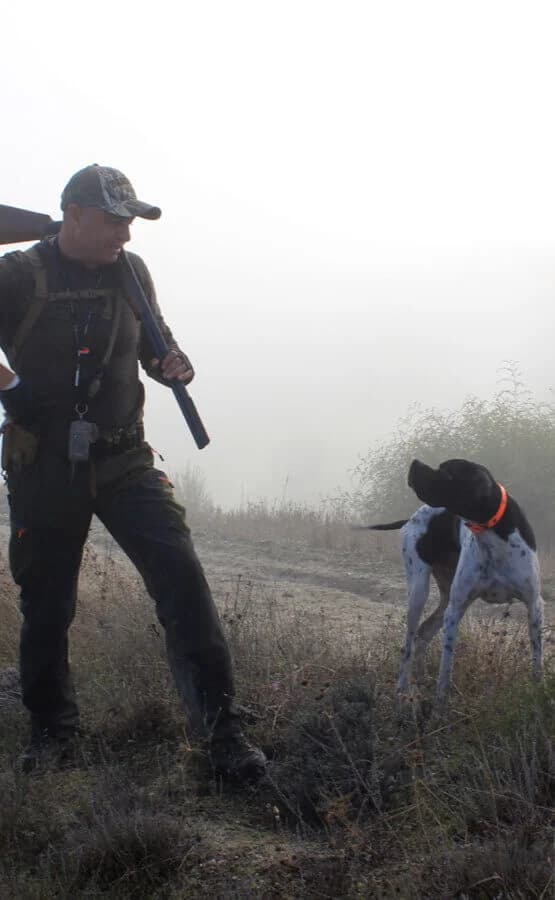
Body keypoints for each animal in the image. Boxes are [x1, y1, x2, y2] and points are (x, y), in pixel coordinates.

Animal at [360, 460, 544, 700]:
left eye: (447, 472)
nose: (414, 462)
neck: (492, 532)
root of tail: (411, 517)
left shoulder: (534, 605)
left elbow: (537, 662)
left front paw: (539, 695)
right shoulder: (455, 611)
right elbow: (445, 671)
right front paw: (440, 704)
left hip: (445, 598)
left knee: (423, 634)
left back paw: (421, 679)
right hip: (419, 592)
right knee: (408, 644)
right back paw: (403, 689)